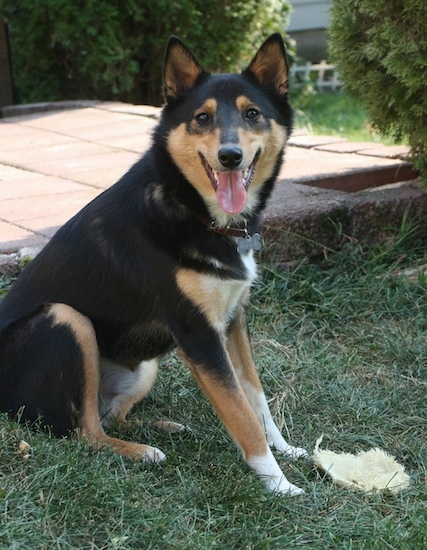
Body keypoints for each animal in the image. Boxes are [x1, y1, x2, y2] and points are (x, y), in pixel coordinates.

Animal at [0, 36, 308, 498]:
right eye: (202, 118)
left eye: (252, 114)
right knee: (86, 432)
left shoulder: (233, 318)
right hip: (67, 319)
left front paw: (285, 450)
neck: (194, 209)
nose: (230, 156)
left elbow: (254, 397)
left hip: (143, 369)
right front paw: (279, 484)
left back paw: (163, 428)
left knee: (109, 415)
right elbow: (240, 414)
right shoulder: (198, 335)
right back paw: (142, 452)